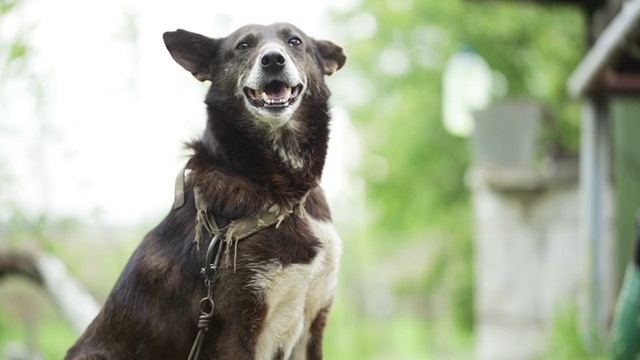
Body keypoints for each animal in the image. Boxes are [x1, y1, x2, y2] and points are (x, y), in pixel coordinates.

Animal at [65, 22, 344, 360]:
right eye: (243, 46)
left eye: (294, 41)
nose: (273, 60)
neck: (281, 191)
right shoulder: (235, 333)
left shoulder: (312, 326)